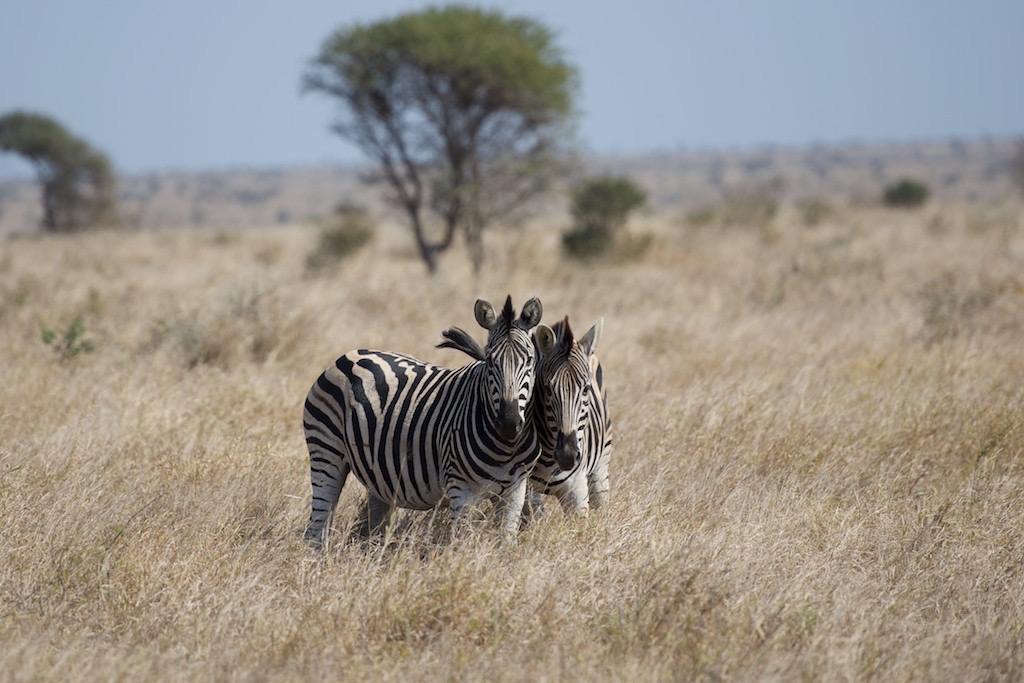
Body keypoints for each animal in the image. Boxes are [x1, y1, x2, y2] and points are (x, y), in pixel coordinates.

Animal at [301, 296, 544, 548]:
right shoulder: (461, 490)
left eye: (529, 360)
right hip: (326, 454)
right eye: (489, 360)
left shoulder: (515, 491)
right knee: (317, 528)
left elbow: (505, 544)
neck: (507, 448)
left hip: (379, 478)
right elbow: (461, 544)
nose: (508, 424)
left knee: (371, 527)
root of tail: (353, 354)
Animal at [438, 317, 610, 516]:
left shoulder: (577, 488)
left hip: (601, 464)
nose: (567, 455)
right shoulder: (523, 486)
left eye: (586, 389)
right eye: (548, 390)